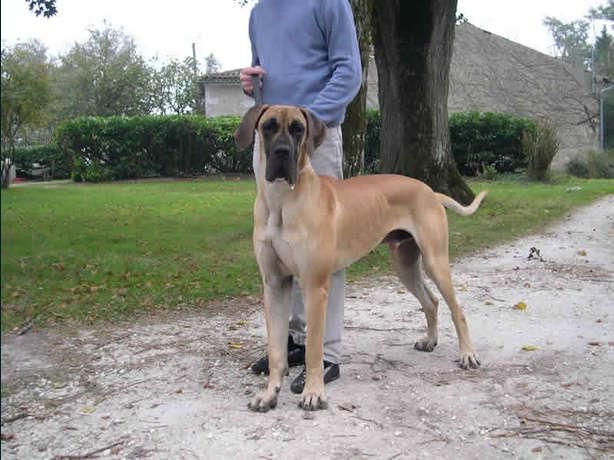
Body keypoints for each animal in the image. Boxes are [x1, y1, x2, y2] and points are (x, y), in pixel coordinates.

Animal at [235, 105, 486, 412]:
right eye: (268, 126)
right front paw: (270, 393)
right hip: (404, 265)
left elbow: (314, 348)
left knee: (456, 309)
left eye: (298, 129)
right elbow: (276, 351)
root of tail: (430, 190)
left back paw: (467, 354)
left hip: (435, 261)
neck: (281, 201)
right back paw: (430, 340)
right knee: (432, 301)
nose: (282, 152)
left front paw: (313, 392)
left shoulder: (315, 287)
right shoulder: (274, 284)